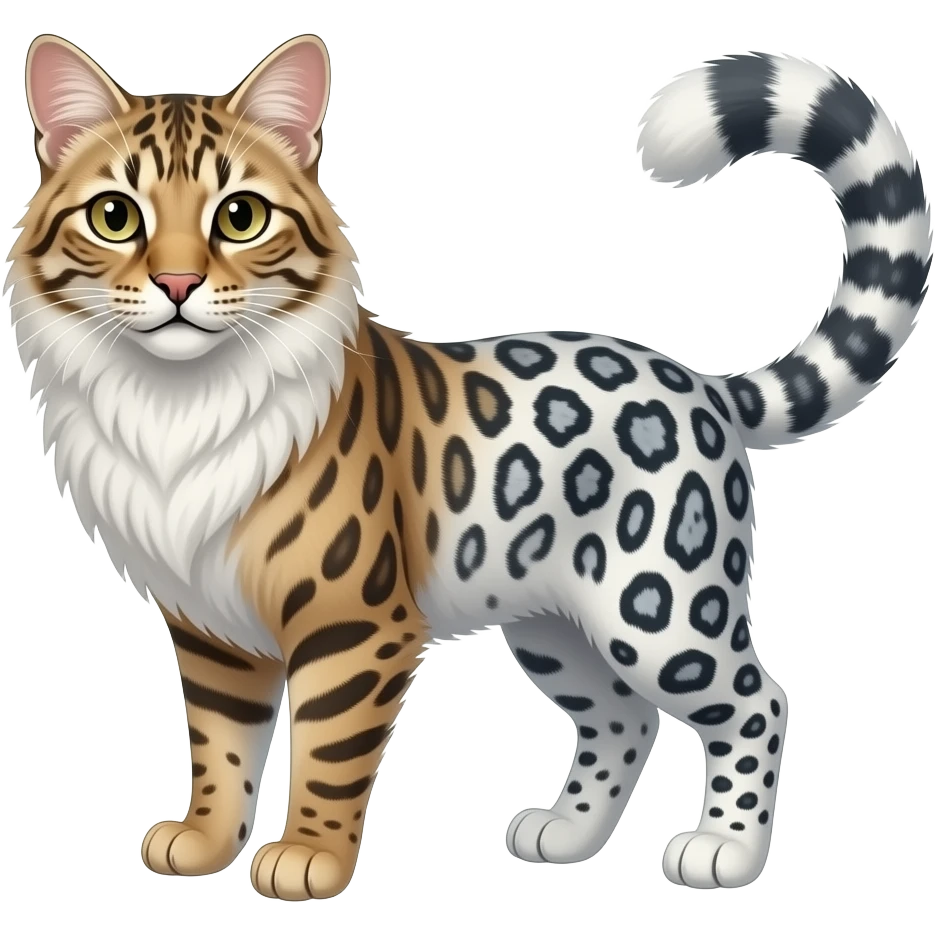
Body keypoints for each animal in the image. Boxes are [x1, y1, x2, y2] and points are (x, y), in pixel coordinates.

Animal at [7, 37, 932, 899]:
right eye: (115, 216)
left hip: (659, 608)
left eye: (239, 216)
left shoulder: (355, 624)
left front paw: (307, 857)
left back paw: (725, 850)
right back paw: (565, 833)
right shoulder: (210, 627)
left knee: (755, 701)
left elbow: (328, 751)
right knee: (621, 718)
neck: (174, 405)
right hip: (555, 627)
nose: (176, 282)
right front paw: (202, 842)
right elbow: (219, 744)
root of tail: (698, 381)